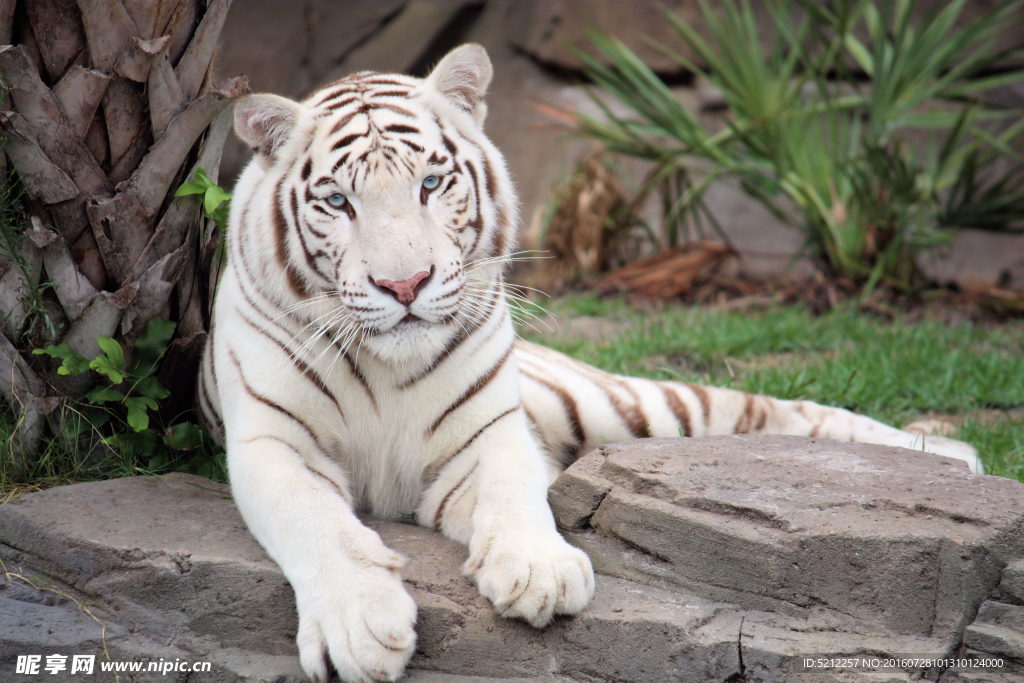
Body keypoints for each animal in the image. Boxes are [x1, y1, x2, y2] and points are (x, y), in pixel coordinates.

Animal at [201, 44, 983, 683]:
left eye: (430, 184)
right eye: (338, 201)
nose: (405, 284)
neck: (389, 370)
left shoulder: (490, 432)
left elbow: (515, 492)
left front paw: (539, 570)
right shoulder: (272, 443)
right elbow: (318, 524)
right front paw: (360, 627)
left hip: (621, 407)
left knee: (764, 409)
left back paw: (949, 455)